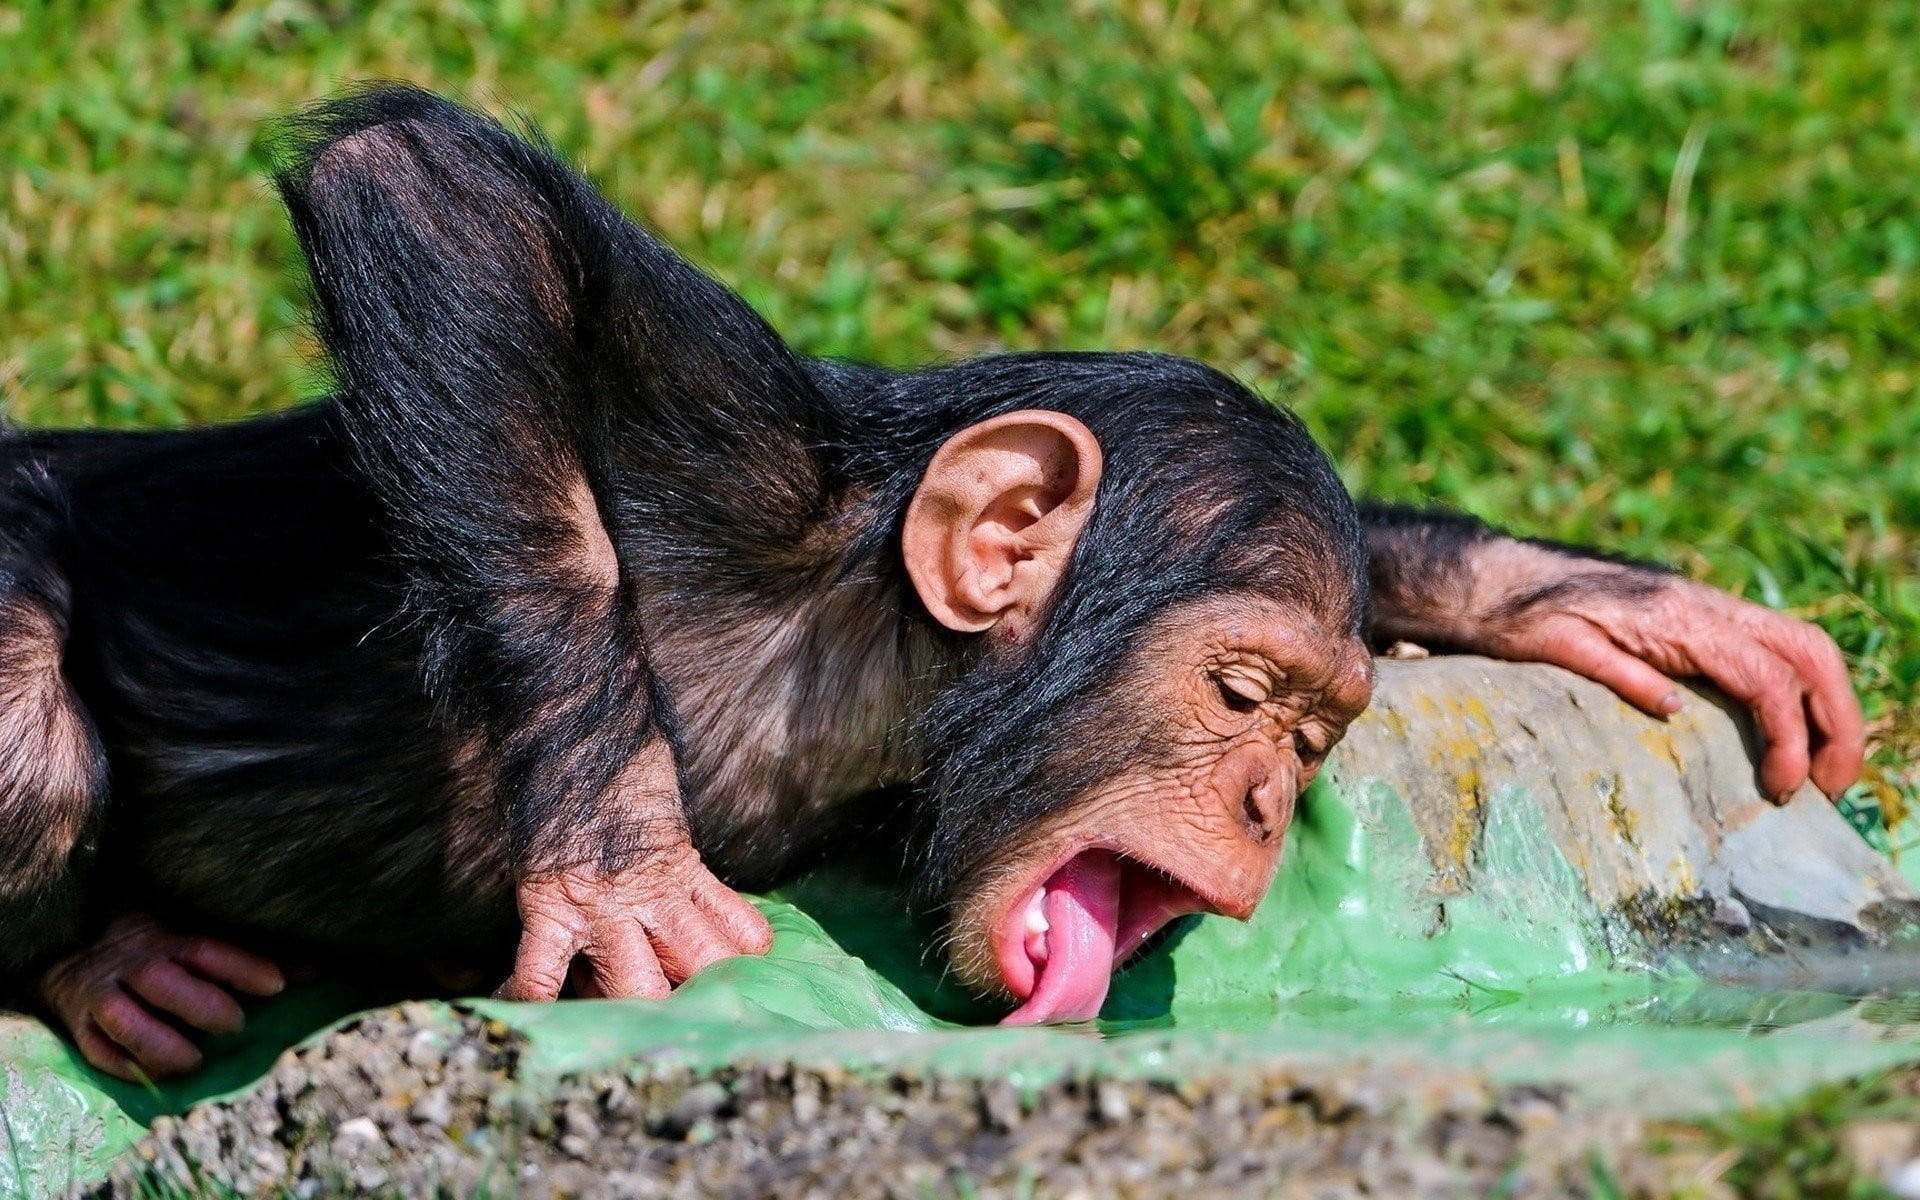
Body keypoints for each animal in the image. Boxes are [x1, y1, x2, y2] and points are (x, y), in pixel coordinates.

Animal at [0, 84, 1858, 1075]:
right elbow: (432, 199)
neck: (865, 666)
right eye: (1244, 695)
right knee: (33, 734)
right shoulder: (734, 458)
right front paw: (620, 861)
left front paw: (1597, 596)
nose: (1269, 801)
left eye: (1317, 737)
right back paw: (109, 964)